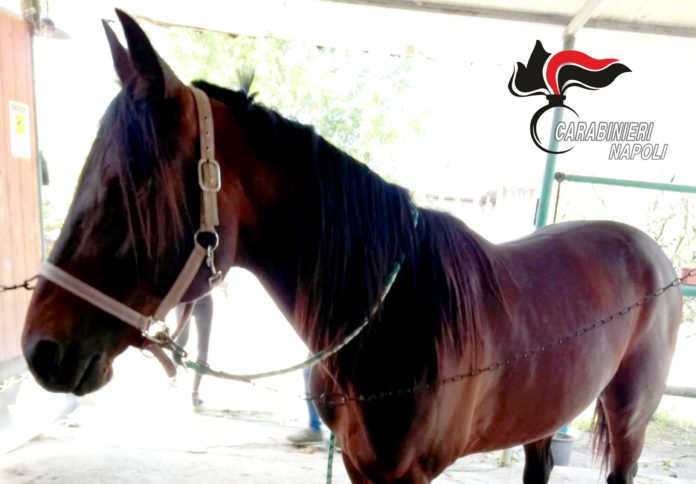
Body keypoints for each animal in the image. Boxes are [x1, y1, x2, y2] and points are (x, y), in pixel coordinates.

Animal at [22, 11, 682, 484]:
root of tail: (654, 254)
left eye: (130, 187)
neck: (396, 314)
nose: (39, 350)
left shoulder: (406, 477)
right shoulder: (361, 466)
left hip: (629, 419)